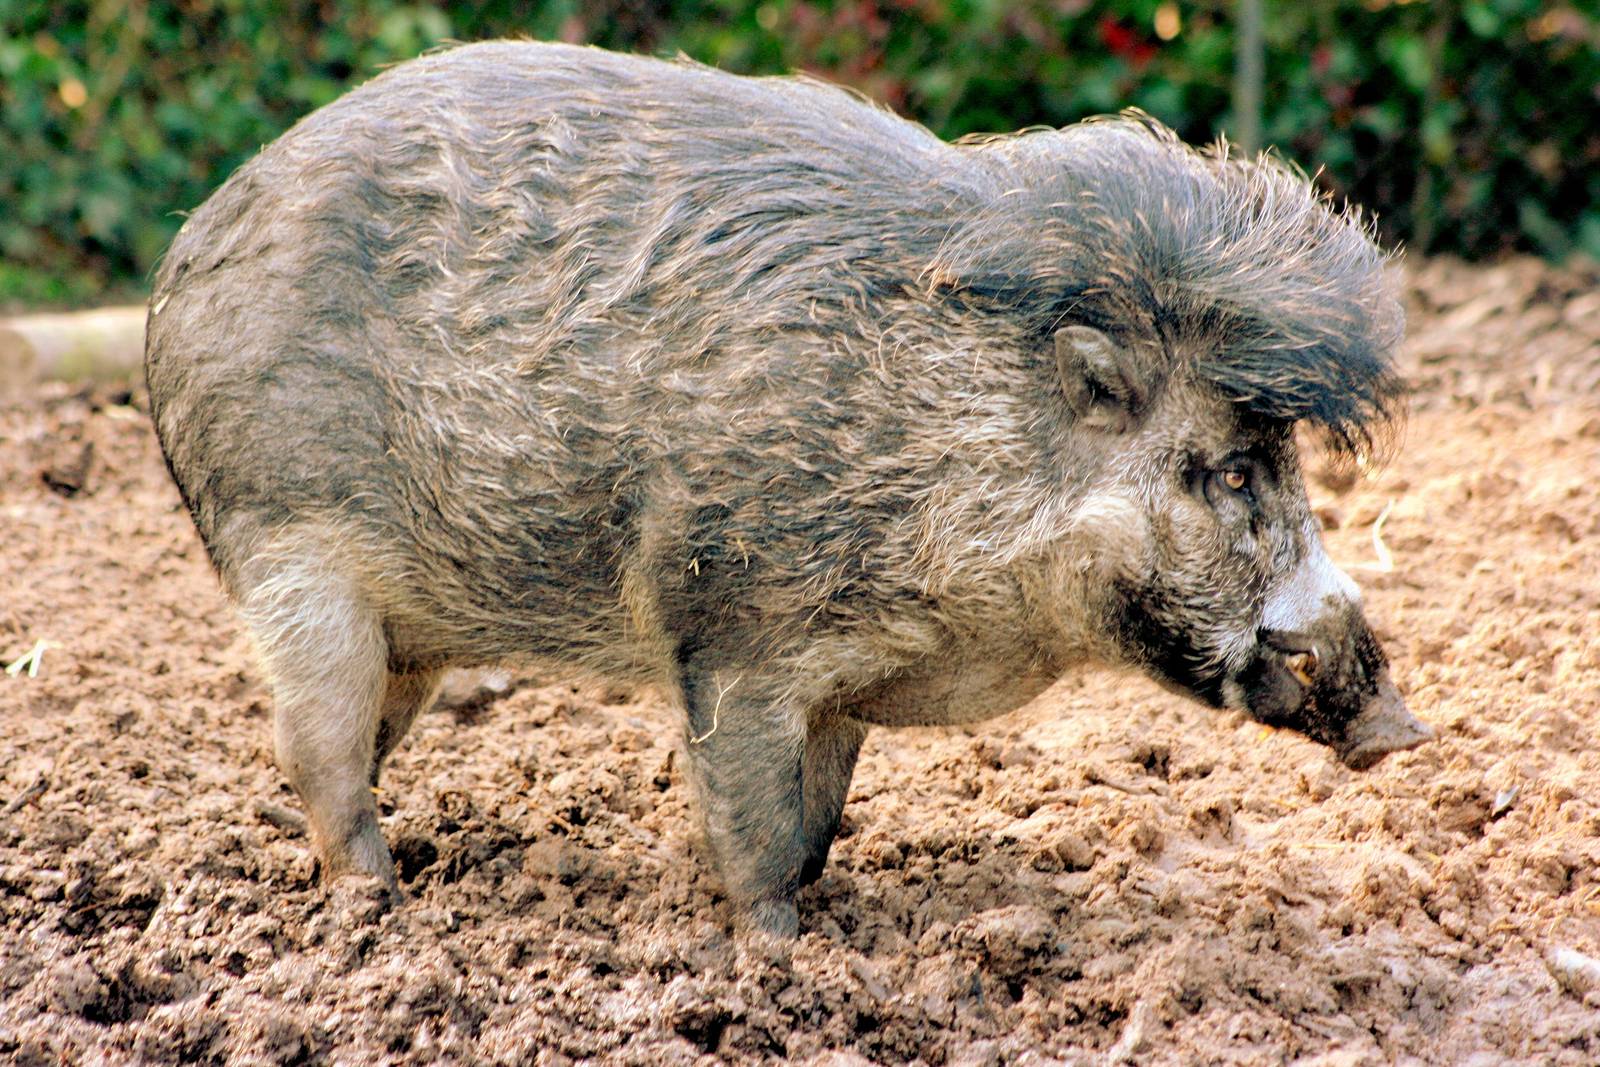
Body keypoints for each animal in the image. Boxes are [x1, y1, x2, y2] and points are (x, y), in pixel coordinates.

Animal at [144, 41, 1433, 936]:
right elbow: (754, 827)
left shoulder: (843, 683)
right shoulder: (728, 630)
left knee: (351, 744)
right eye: (1226, 469)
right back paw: (377, 906)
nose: (1399, 728)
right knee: (317, 749)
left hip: (407, 626)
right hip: (290, 550)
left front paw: (826, 920)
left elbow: (818, 822)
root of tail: (190, 250)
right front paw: (778, 956)